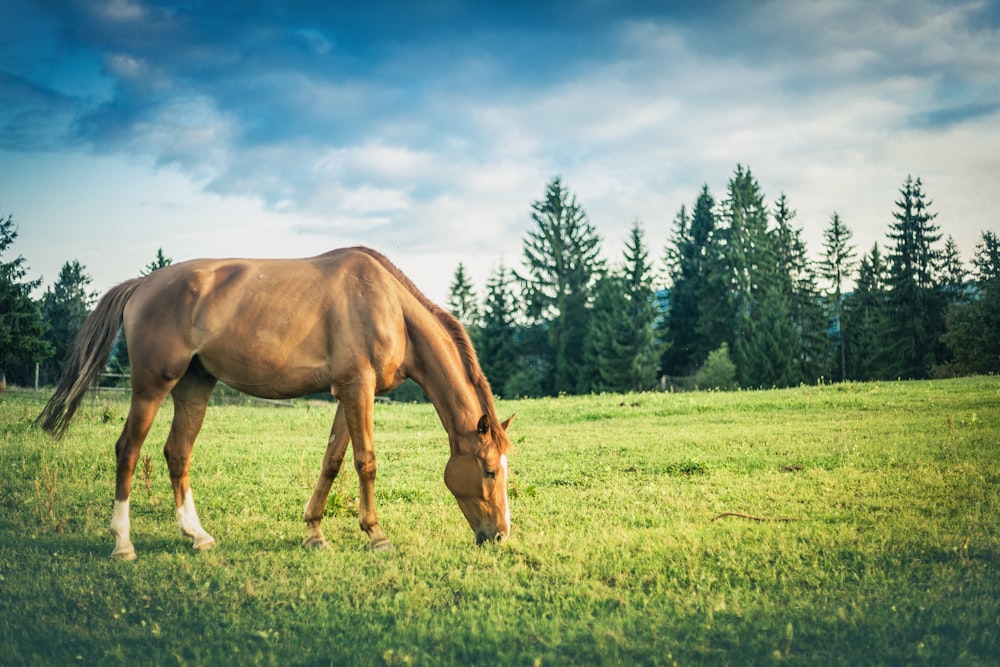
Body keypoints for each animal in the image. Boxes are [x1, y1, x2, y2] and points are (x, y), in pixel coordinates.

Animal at [38, 245, 512, 560]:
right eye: (489, 470)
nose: (500, 535)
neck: (388, 306)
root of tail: (141, 285)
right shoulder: (358, 388)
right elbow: (366, 462)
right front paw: (376, 535)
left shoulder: (349, 393)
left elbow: (332, 461)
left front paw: (314, 533)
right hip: (152, 386)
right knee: (128, 451)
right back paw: (123, 544)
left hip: (194, 386)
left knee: (177, 453)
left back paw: (197, 535)